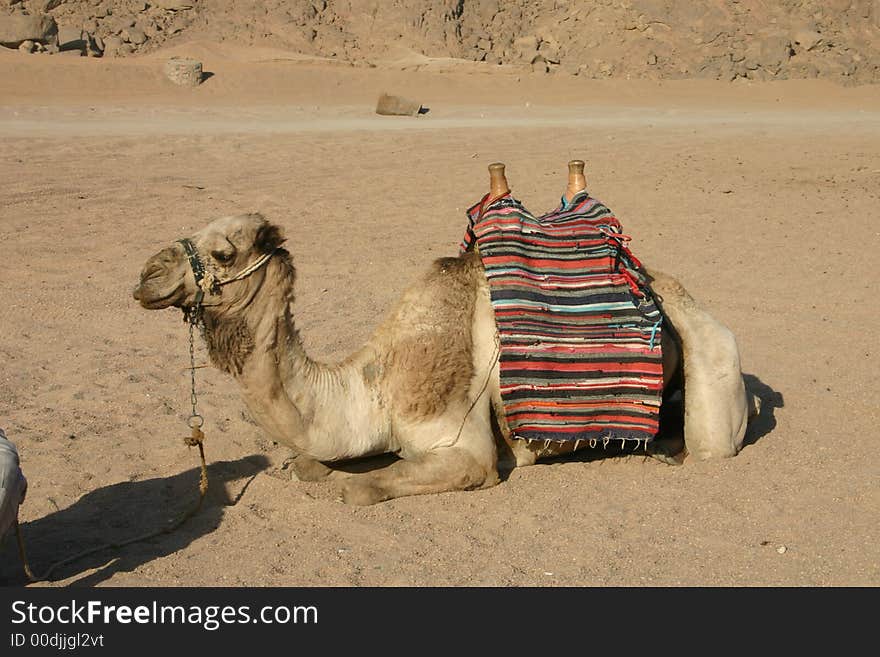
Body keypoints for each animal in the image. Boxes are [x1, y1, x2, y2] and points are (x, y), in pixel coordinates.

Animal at [131, 163, 756, 502]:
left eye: (223, 251)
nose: (146, 276)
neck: (371, 388)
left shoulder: (462, 446)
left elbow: (360, 486)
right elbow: (309, 464)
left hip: (716, 362)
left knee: (710, 439)